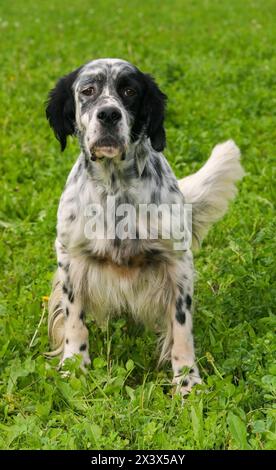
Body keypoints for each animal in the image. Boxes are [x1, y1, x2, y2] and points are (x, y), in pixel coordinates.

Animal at [45, 58, 244, 396]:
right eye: (88, 90)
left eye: (129, 91)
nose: (108, 114)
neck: (115, 189)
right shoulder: (70, 256)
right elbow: (74, 320)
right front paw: (75, 367)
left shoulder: (178, 263)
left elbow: (181, 329)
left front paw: (187, 382)